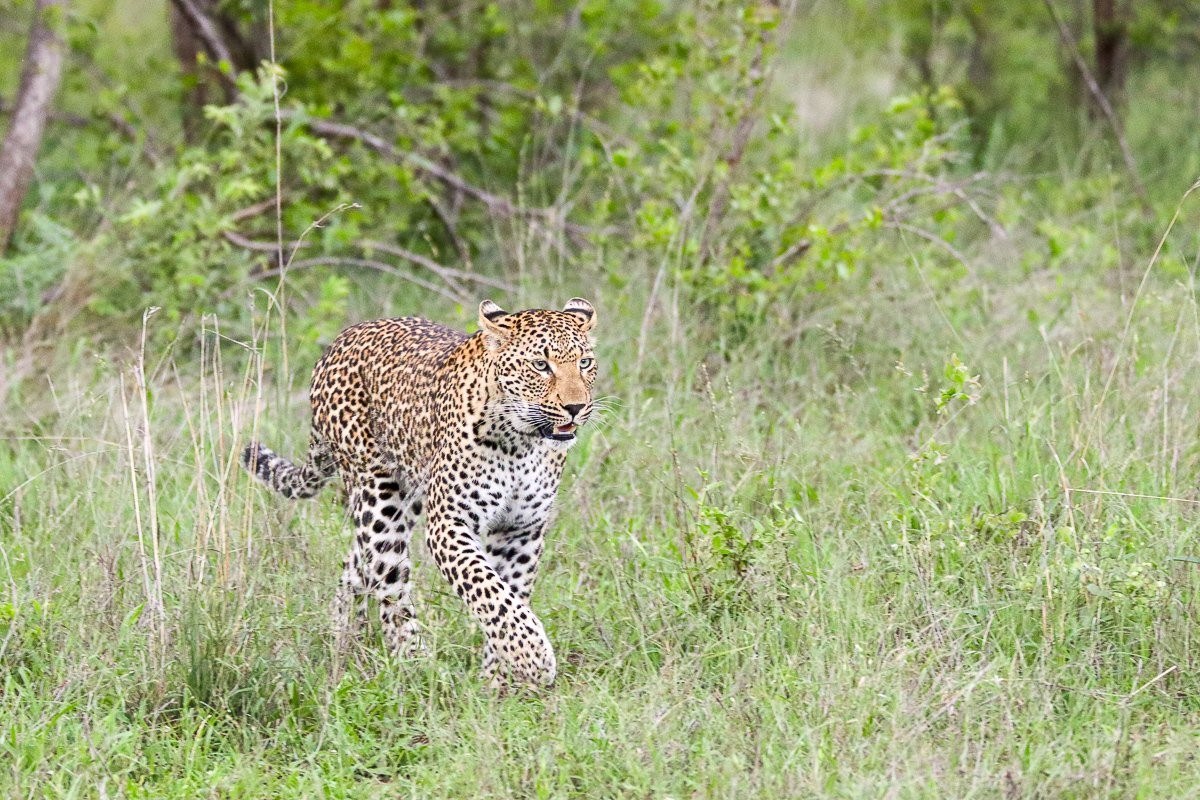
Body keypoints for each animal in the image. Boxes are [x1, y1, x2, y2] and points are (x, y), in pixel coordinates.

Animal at [240, 298, 598, 688]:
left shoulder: (521, 530)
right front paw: (532, 656)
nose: (576, 407)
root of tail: (337, 342)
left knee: (358, 565)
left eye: (584, 363)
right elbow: (487, 588)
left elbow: (510, 593)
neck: (522, 443)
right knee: (389, 583)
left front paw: (500, 678)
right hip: (379, 496)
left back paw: (343, 640)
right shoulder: (449, 523)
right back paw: (414, 663)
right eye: (540, 365)